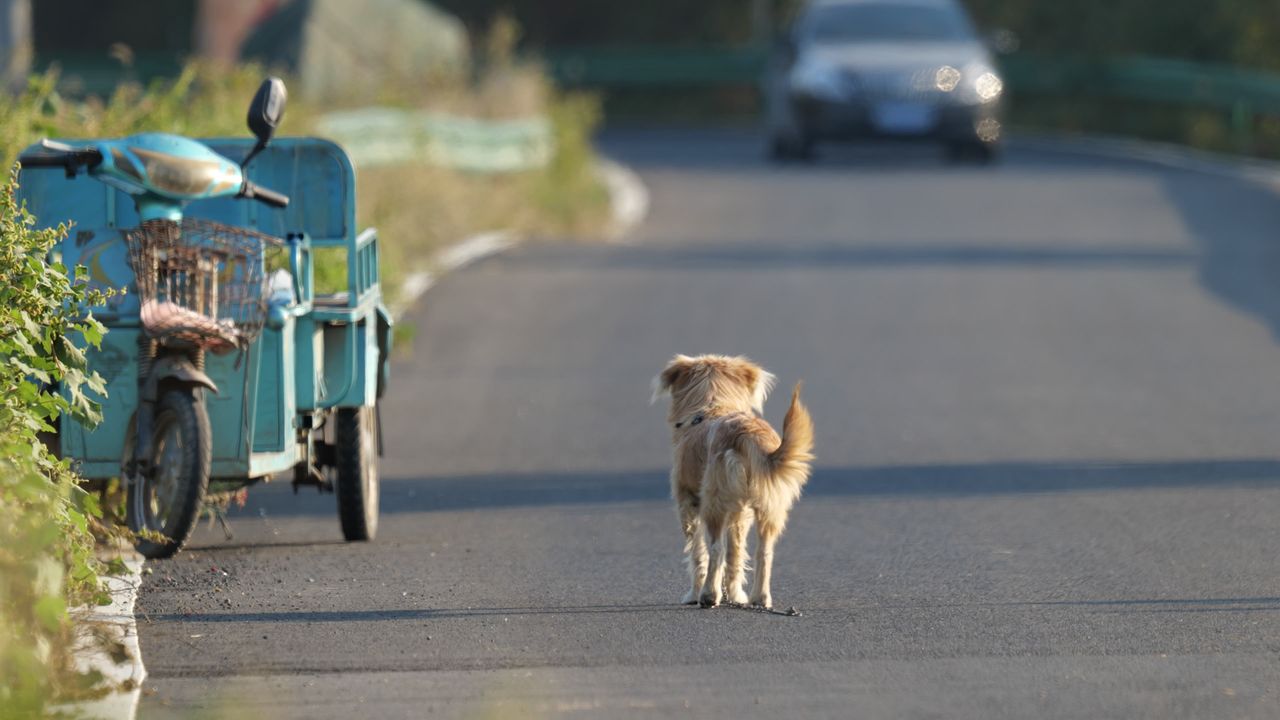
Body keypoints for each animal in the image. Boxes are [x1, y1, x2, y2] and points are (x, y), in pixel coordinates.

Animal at [655, 353, 814, 604]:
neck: (714, 406)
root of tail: (746, 434)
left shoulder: (687, 503)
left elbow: (697, 553)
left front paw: (694, 594)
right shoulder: (741, 513)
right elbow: (736, 554)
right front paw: (736, 595)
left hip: (713, 502)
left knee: (715, 548)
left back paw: (708, 595)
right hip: (770, 505)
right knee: (763, 551)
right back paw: (759, 598)